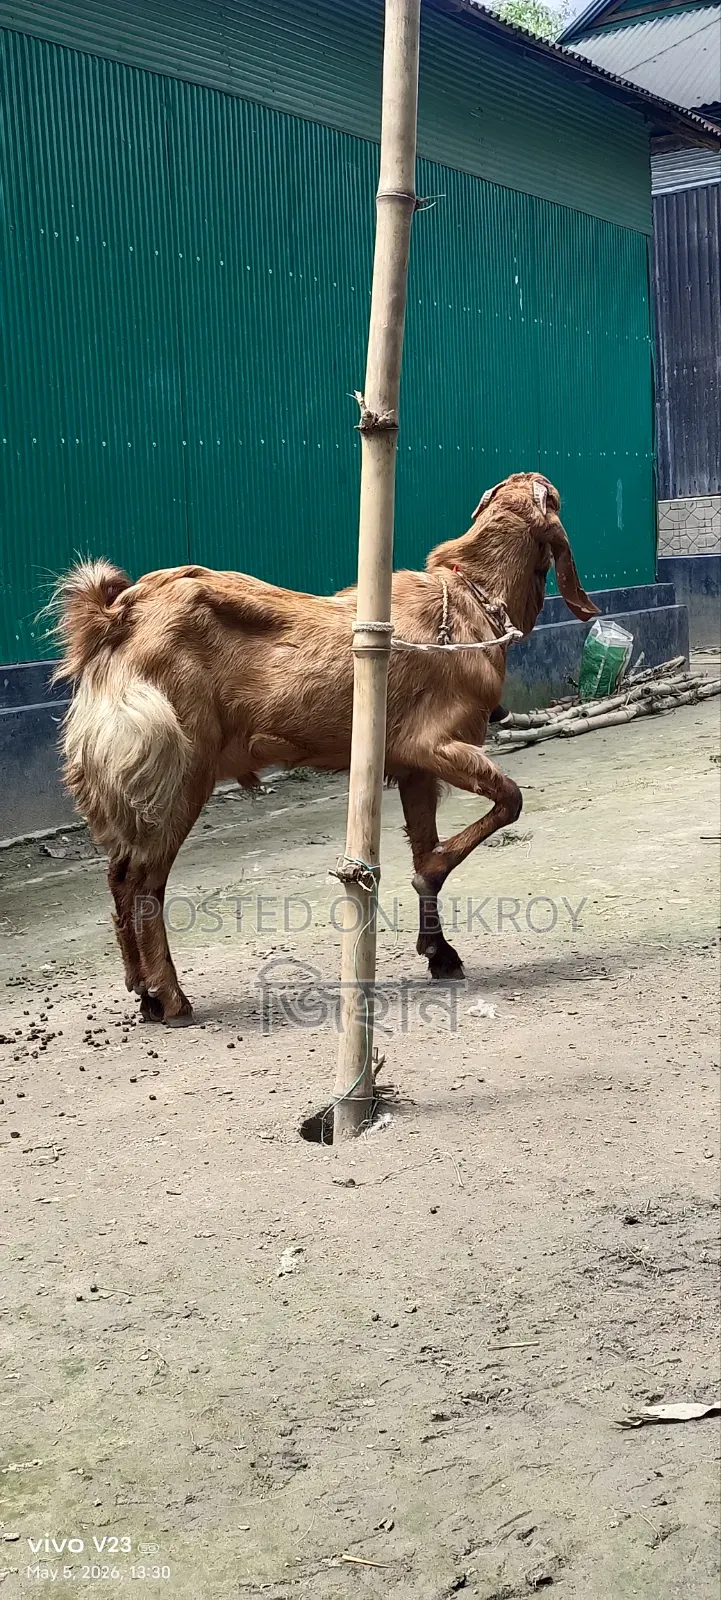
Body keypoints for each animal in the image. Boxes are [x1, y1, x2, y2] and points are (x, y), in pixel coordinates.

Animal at [53, 472, 597, 1023]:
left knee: (119, 874)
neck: (471, 596)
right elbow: (508, 801)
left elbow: (426, 848)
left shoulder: (412, 768)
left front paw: (439, 952)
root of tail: (113, 620)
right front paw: (433, 907)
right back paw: (170, 996)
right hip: (179, 770)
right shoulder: (435, 744)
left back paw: (142, 991)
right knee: (144, 881)